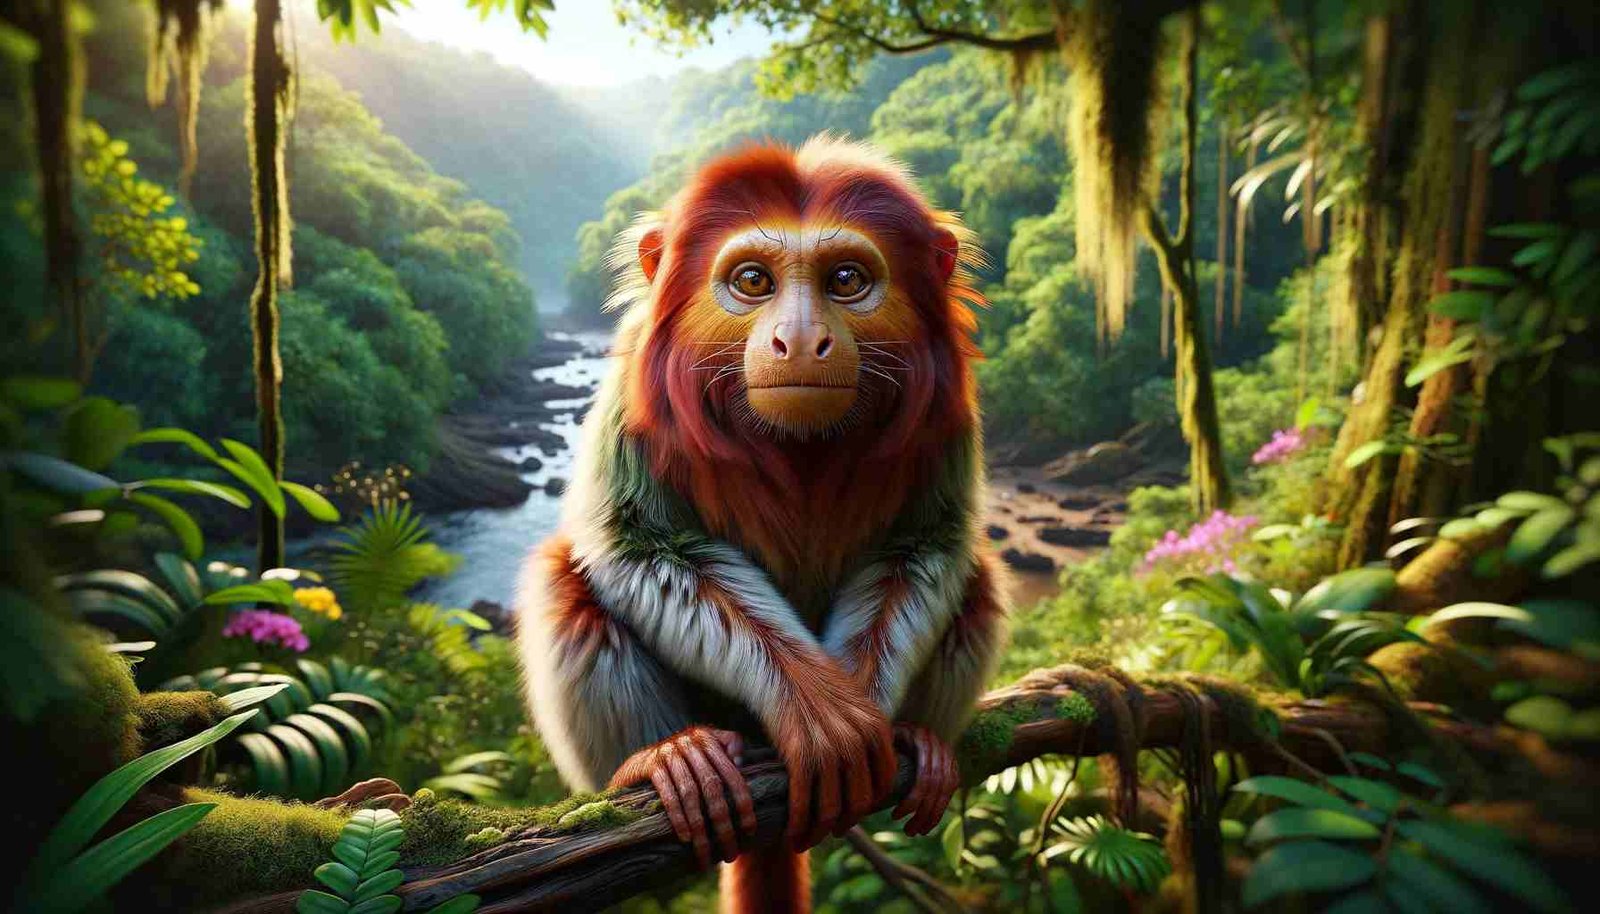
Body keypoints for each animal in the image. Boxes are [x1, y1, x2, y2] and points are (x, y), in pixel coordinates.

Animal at [516, 135, 1008, 914]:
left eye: (845, 280)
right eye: (753, 280)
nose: (799, 340)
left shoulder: (949, 408)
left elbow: (925, 545)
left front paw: (868, 709)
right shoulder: (633, 385)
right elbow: (635, 545)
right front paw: (822, 714)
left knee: (978, 581)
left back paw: (924, 740)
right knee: (565, 580)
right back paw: (663, 758)